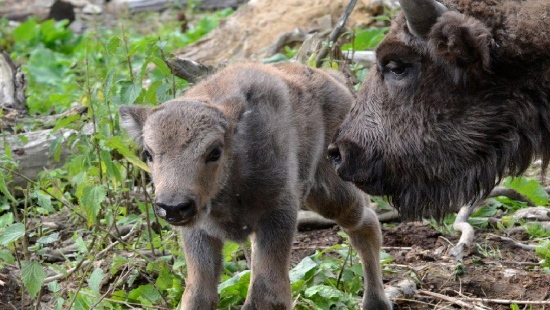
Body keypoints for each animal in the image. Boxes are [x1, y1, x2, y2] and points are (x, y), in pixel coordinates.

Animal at [119, 63, 392, 310]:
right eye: (148, 153)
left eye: (215, 151)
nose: (173, 207)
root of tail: (335, 80)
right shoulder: (200, 232)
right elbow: (198, 295)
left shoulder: (277, 215)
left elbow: (267, 295)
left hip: (332, 193)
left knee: (365, 223)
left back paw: (375, 303)